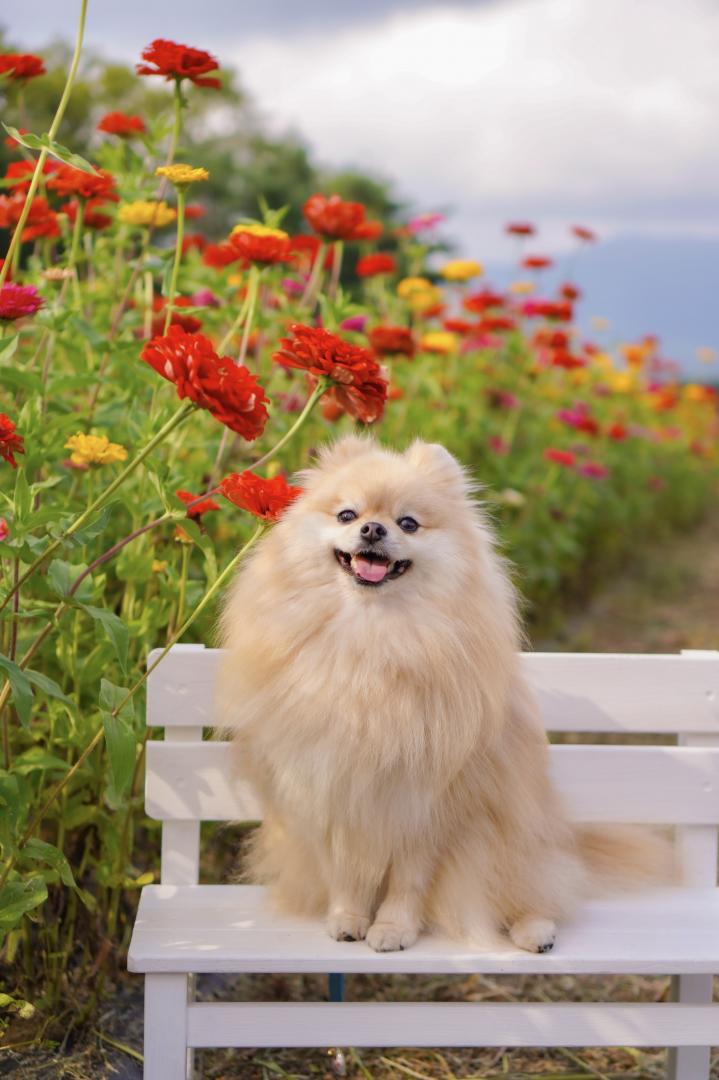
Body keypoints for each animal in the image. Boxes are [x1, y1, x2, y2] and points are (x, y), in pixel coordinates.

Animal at [215, 438, 669, 954]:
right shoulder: (333, 791)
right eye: (348, 514)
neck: (370, 637)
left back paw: (535, 930)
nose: (373, 528)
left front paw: (393, 929)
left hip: (514, 839)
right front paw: (348, 919)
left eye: (408, 523)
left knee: (538, 886)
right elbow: (346, 871)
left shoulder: (427, 808)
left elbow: (408, 881)